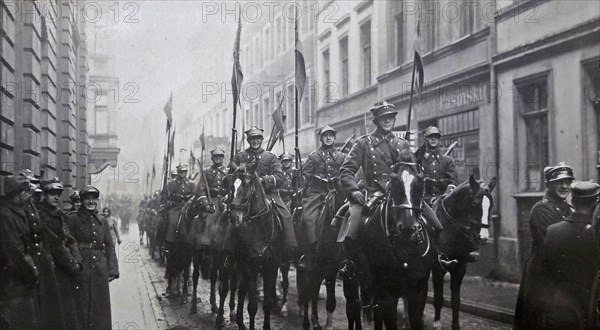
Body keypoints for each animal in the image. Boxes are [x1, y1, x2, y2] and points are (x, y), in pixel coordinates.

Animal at [226, 168, 284, 330]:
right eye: (232, 187)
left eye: (246, 187)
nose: (233, 218)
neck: (261, 230)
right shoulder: (249, 268)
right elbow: (252, 306)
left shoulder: (271, 268)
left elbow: (267, 303)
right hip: (234, 265)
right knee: (232, 288)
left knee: (241, 290)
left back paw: (240, 321)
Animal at [344, 153, 434, 330]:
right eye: (394, 180)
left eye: (420, 181)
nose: (408, 227)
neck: (405, 247)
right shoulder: (387, 294)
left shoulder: (418, 291)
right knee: (358, 306)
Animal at [432, 175, 496, 330]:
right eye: (474, 204)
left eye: (490, 205)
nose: (483, 237)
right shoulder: (437, 267)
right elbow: (438, 298)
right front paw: (437, 322)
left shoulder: (460, 267)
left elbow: (456, 301)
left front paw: (456, 325)